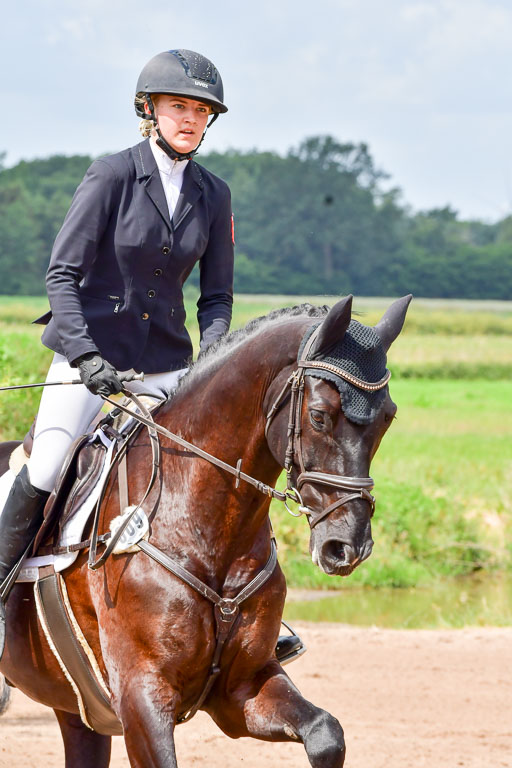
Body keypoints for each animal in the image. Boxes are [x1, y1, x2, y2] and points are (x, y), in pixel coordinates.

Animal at [0, 294, 411, 767]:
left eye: (388, 417)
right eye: (320, 416)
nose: (347, 547)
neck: (206, 525)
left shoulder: (242, 689)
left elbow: (327, 734)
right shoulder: (141, 696)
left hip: (78, 708)